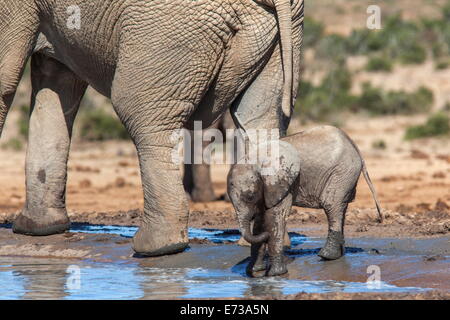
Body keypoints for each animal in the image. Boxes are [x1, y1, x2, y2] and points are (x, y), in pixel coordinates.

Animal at [0, 0, 304, 255]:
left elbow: (7, 78)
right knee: (258, 122)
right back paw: (266, 239)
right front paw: (38, 228)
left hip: (167, 31)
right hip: (278, 37)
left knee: (142, 116)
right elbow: (56, 82)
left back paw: (156, 247)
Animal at [227, 126, 382, 276]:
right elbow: (260, 222)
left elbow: (274, 218)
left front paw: (275, 274)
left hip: (342, 172)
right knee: (340, 207)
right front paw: (254, 271)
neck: (256, 160)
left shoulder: (284, 183)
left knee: (331, 205)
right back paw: (339, 254)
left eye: (250, 196)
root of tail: (355, 146)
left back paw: (326, 256)